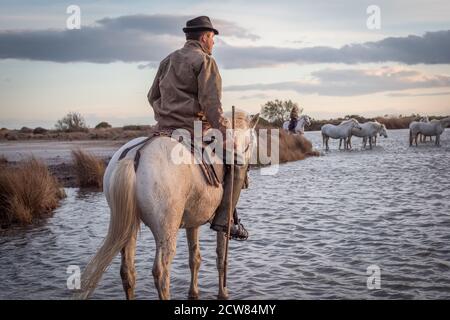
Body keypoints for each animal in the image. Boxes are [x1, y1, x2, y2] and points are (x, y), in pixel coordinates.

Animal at [77, 110, 258, 300]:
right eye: (251, 144)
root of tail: (134, 155)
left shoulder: (193, 223)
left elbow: (195, 258)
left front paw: (193, 293)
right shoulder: (222, 226)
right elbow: (221, 258)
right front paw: (223, 293)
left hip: (128, 227)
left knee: (127, 271)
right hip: (166, 231)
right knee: (162, 273)